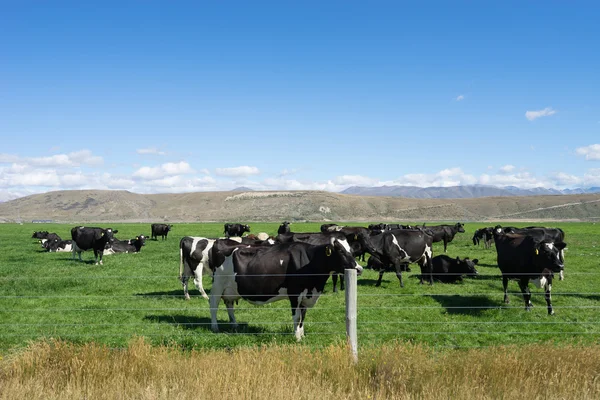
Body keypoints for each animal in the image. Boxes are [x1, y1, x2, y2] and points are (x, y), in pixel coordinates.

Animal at [209, 238, 364, 340]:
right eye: (340, 251)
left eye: (351, 251)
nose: (359, 269)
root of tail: (220, 242)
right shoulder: (295, 294)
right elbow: (296, 316)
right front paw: (296, 337)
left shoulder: (306, 295)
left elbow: (303, 316)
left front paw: (302, 334)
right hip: (217, 284)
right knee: (213, 305)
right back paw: (214, 328)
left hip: (230, 288)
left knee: (229, 304)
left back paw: (234, 325)